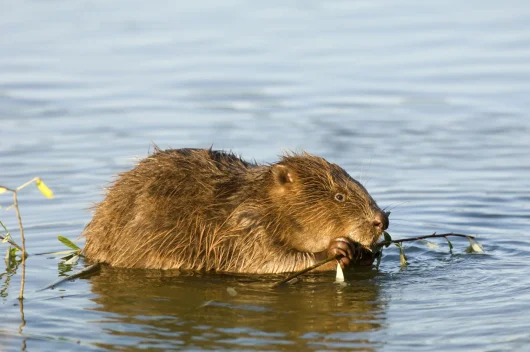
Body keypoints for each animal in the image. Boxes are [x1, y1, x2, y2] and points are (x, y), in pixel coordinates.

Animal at [83, 147, 388, 274]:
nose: (381, 221)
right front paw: (337, 250)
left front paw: (364, 252)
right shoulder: (245, 226)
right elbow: (268, 263)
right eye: (339, 196)